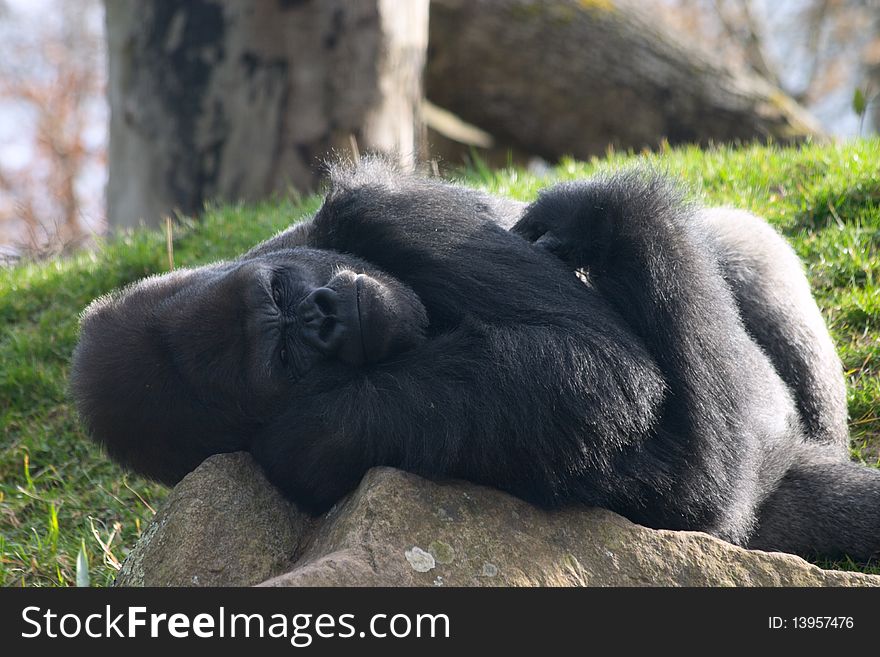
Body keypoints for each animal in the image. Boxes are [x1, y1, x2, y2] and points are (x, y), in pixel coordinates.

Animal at [74, 158, 880, 560]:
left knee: (742, 245)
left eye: (282, 296)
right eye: (284, 355)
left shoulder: (367, 212)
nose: (326, 317)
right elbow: (616, 391)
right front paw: (602, 213)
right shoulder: (307, 438)